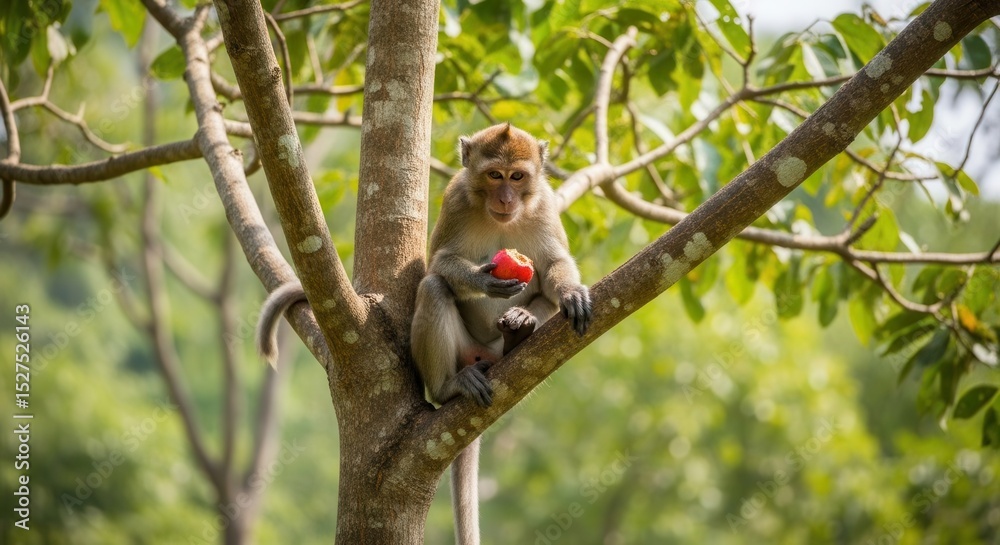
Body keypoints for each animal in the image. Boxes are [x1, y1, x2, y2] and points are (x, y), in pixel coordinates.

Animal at [410, 122, 591, 545]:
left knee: (542, 299)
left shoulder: (544, 207)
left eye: (518, 177)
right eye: (494, 175)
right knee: (433, 288)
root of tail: (486, 357)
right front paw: (482, 281)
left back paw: (519, 332)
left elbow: (554, 266)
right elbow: (439, 263)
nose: (506, 198)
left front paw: (569, 293)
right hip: (466, 351)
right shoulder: (456, 201)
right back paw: (449, 387)